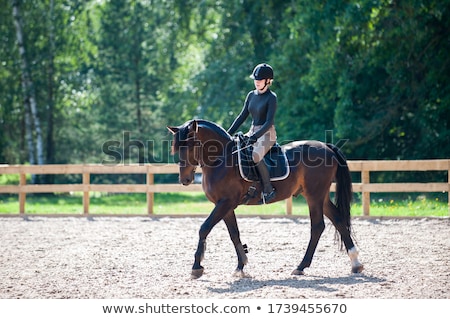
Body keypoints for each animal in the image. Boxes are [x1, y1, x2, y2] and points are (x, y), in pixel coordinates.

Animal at [167, 119, 364, 278]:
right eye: (176, 148)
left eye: (191, 145)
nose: (185, 179)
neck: (222, 160)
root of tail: (326, 147)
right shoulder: (225, 206)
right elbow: (234, 234)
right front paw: (241, 266)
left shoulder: (225, 203)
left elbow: (204, 228)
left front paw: (197, 267)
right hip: (320, 196)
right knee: (338, 220)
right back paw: (355, 263)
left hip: (314, 196)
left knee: (317, 226)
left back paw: (301, 266)